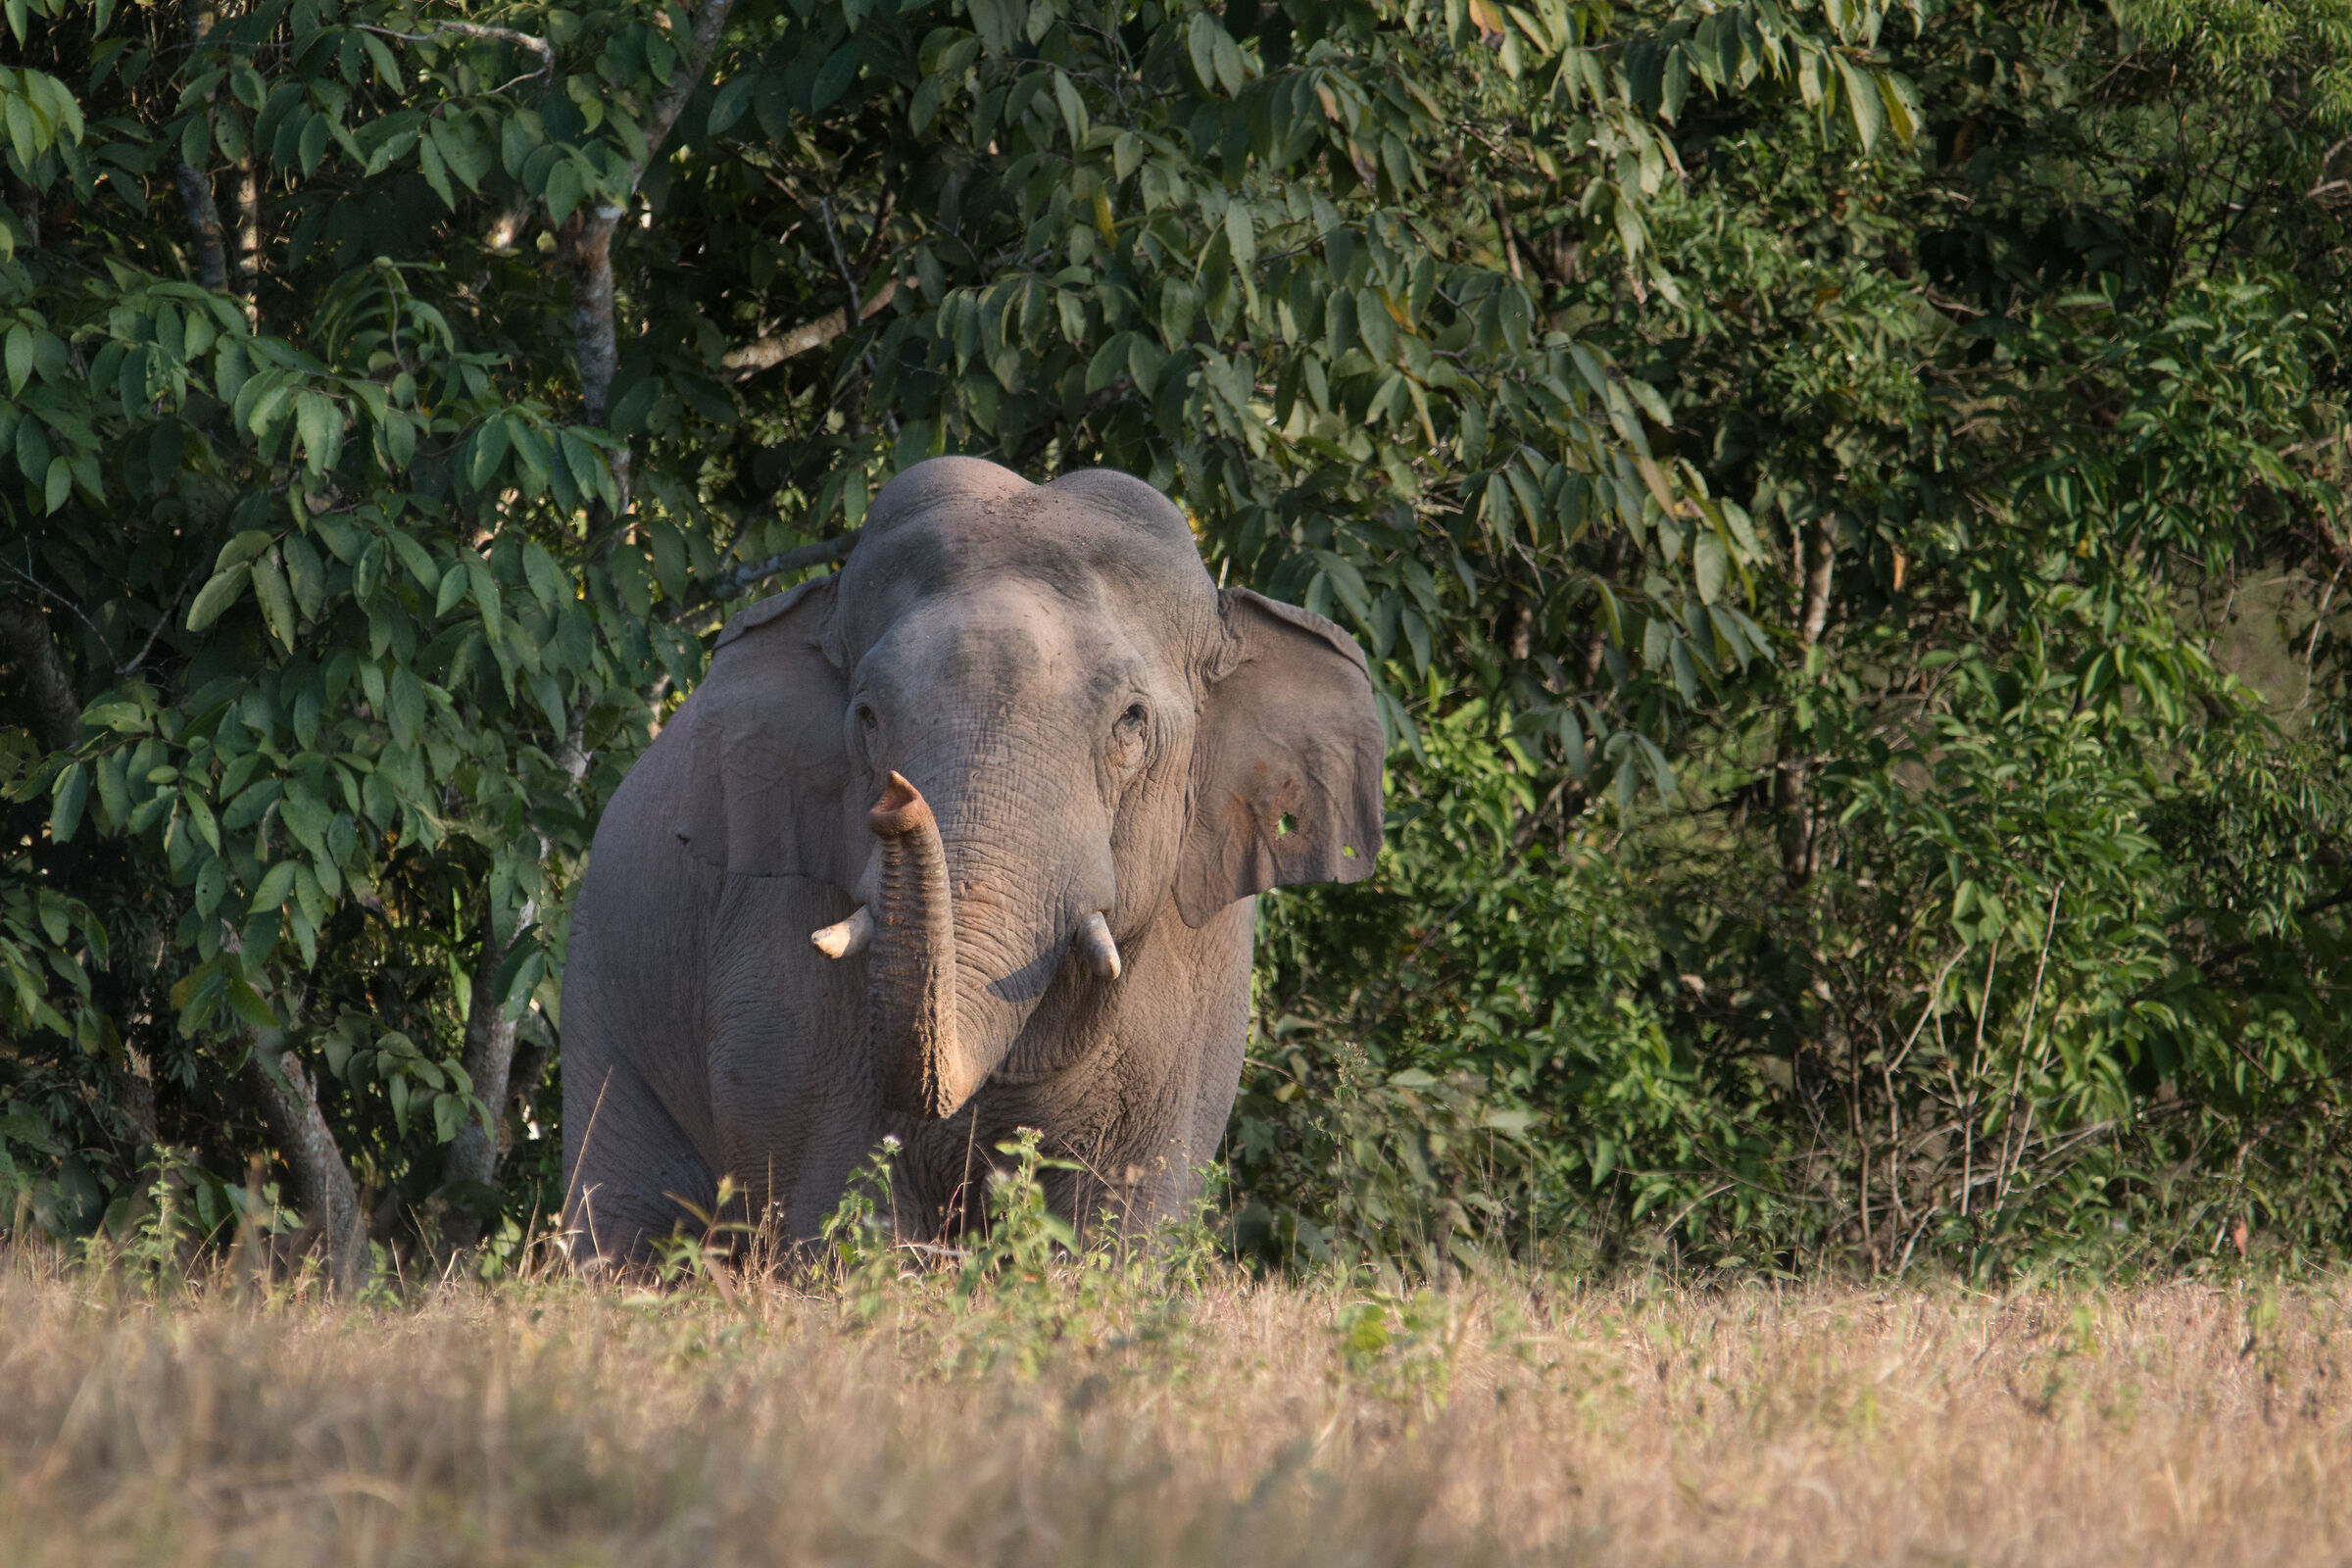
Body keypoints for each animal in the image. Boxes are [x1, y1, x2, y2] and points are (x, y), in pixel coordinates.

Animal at [558, 456, 1384, 1262]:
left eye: (1131, 720)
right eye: (866, 715)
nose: (899, 798)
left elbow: (1129, 1213)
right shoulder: (774, 962)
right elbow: (834, 1197)